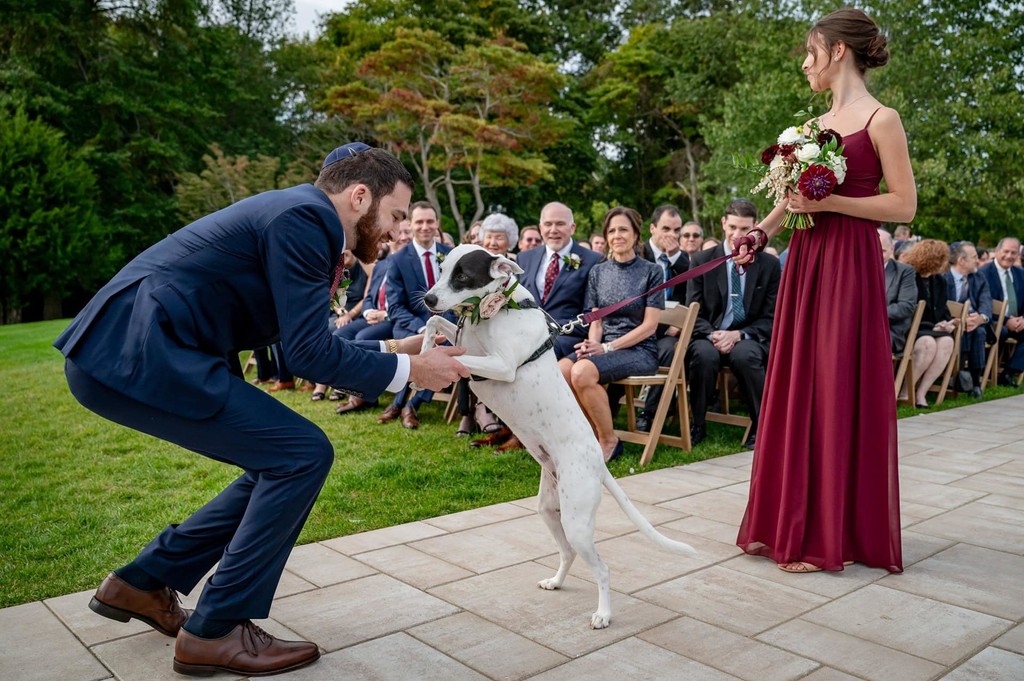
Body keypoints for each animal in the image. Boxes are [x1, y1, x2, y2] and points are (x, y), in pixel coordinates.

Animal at [421, 242, 696, 626]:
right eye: (443, 268)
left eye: (462, 275)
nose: (429, 298)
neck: (494, 312)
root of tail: (599, 463)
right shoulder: (466, 340)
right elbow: (435, 325)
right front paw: (423, 350)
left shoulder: (499, 365)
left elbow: (457, 360)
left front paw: (429, 362)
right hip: (550, 510)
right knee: (567, 552)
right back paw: (556, 581)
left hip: (577, 522)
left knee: (602, 568)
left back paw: (603, 614)